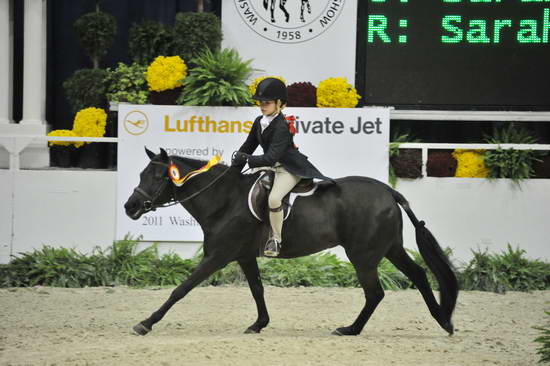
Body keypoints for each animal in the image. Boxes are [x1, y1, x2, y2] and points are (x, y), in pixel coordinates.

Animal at [126, 148, 462, 338]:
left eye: (157, 177)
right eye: (141, 173)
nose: (130, 207)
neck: (224, 199)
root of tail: (389, 191)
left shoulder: (218, 256)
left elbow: (181, 289)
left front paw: (145, 323)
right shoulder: (244, 256)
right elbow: (257, 290)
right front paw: (259, 324)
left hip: (364, 255)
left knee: (375, 293)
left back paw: (350, 330)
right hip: (389, 249)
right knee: (418, 275)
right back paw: (443, 321)